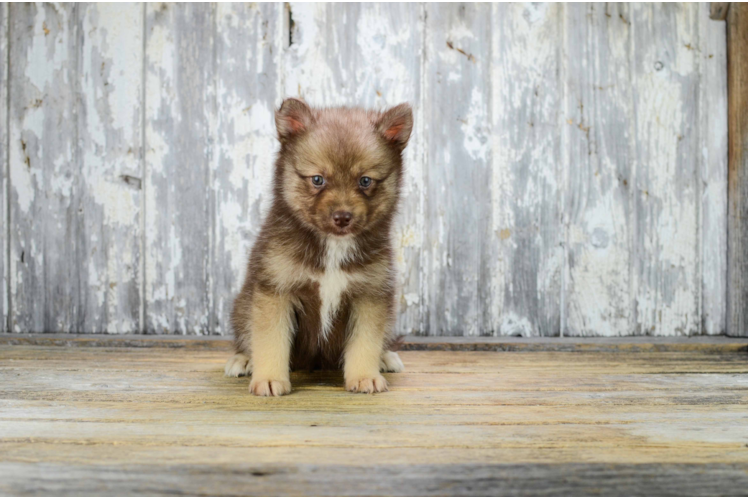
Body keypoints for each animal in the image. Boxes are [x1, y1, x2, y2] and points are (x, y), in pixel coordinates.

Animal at [224, 96, 414, 394]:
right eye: (317, 179)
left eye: (365, 181)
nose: (342, 217)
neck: (333, 247)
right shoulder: (276, 292)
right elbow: (270, 342)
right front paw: (269, 378)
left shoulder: (369, 295)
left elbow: (365, 343)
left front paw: (364, 376)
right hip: (243, 306)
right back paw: (244, 360)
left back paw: (385, 357)